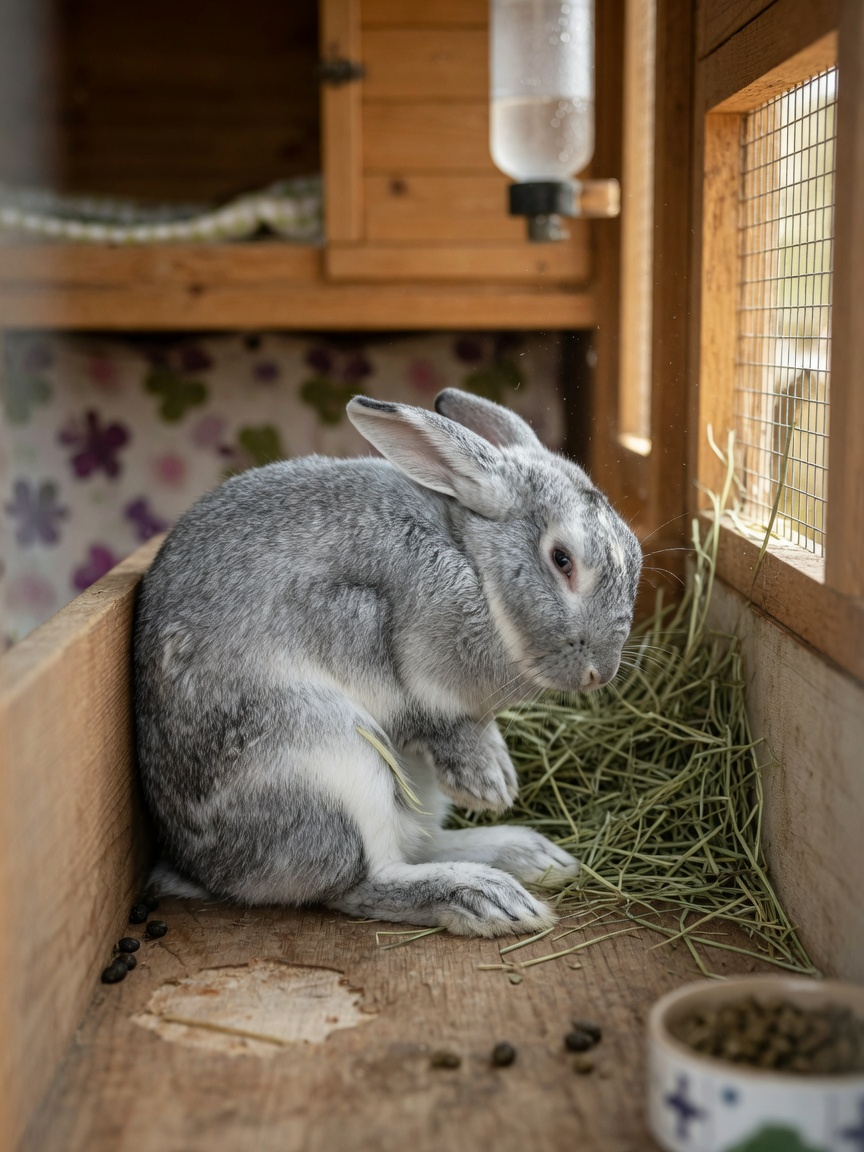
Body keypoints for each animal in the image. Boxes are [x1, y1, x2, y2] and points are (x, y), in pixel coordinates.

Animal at [134, 388, 642, 937]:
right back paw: (487, 898)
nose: (600, 671)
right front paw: (489, 781)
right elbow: (426, 716)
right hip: (332, 759)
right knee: (363, 881)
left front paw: (496, 780)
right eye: (562, 559)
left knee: (414, 843)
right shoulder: (364, 624)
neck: (471, 558)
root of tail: (198, 871)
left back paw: (532, 855)